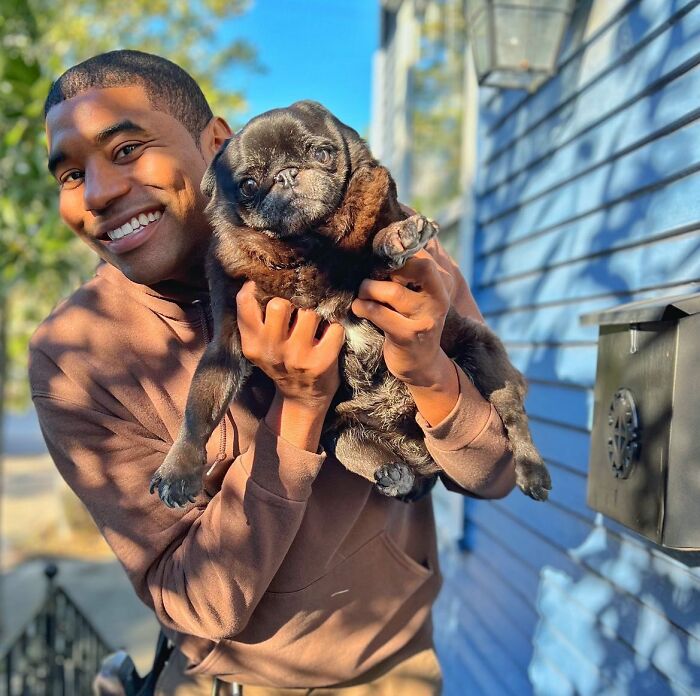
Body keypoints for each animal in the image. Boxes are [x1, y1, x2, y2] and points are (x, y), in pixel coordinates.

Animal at [149, 99, 552, 506]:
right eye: (248, 185)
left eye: (321, 153)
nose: (286, 175)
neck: (309, 248)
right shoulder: (228, 343)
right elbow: (200, 407)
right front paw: (178, 469)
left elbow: (378, 241)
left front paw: (399, 237)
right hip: (339, 433)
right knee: (373, 457)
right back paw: (395, 475)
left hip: (482, 352)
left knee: (513, 416)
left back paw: (531, 469)